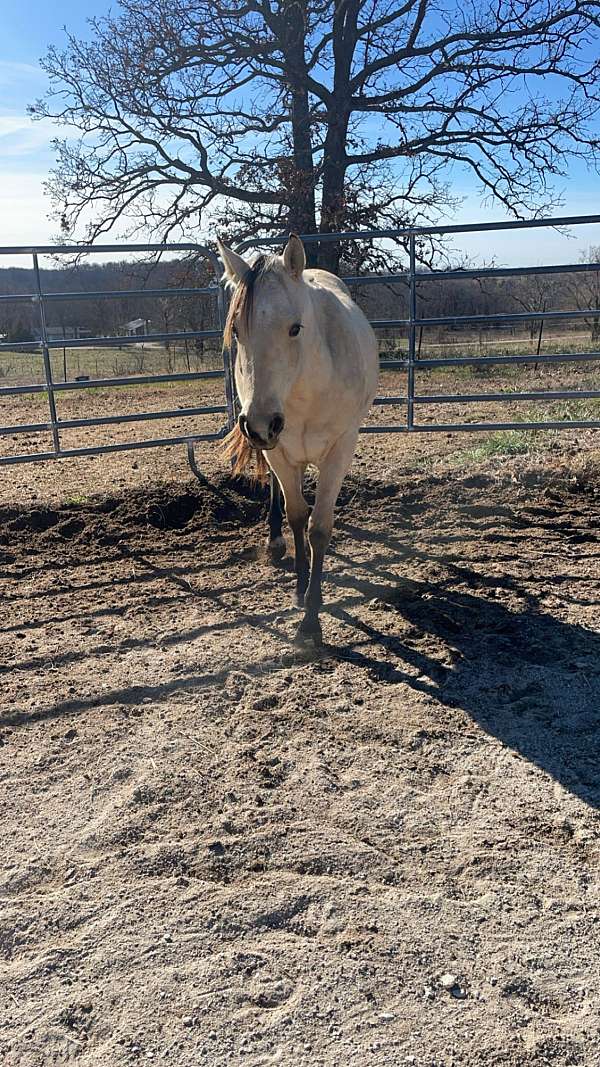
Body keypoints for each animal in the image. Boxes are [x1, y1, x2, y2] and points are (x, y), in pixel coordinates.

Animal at [216, 234, 375, 644]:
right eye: (237, 331)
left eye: (295, 328)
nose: (259, 423)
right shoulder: (281, 453)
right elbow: (297, 516)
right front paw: (301, 591)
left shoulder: (339, 451)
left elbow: (319, 527)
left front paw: (312, 618)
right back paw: (275, 543)